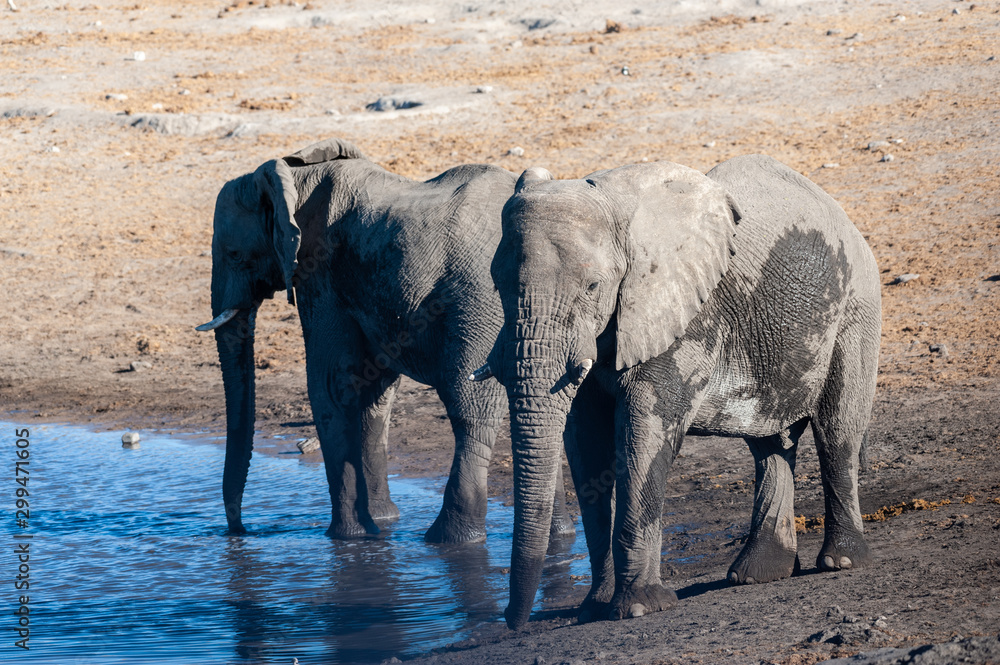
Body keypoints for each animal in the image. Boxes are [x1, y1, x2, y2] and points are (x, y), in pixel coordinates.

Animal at [195, 137, 576, 544]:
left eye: (234, 254)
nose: (240, 531)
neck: (293, 173)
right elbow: (373, 392)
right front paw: (382, 522)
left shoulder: (320, 272)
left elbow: (332, 386)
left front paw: (348, 537)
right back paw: (559, 537)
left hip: (481, 302)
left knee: (469, 407)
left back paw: (448, 539)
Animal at [478, 153, 884, 624]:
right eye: (497, 285)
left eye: (593, 286)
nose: (511, 623)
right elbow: (587, 443)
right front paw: (593, 609)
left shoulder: (684, 314)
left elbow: (644, 434)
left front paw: (638, 608)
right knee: (769, 446)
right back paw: (757, 575)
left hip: (857, 306)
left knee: (837, 431)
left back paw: (842, 562)